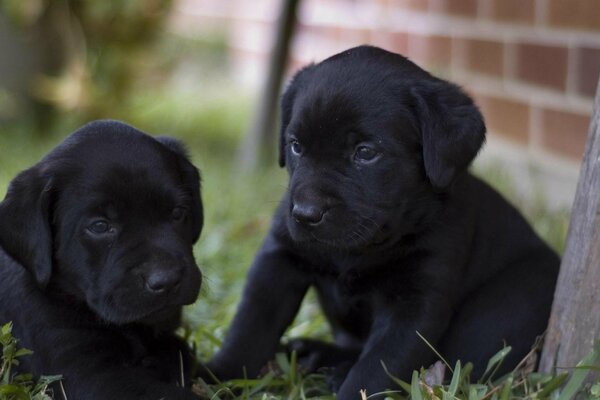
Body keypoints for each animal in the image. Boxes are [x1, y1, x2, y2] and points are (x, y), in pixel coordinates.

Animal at [207, 46, 564, 396]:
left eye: (365, 153)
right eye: (295, 146)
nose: (305, 213)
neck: (360, 249)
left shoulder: (415, 301)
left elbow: (377, 368)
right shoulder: (279, 259)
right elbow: (250, 327)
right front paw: (213, 376)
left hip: (510, 302)